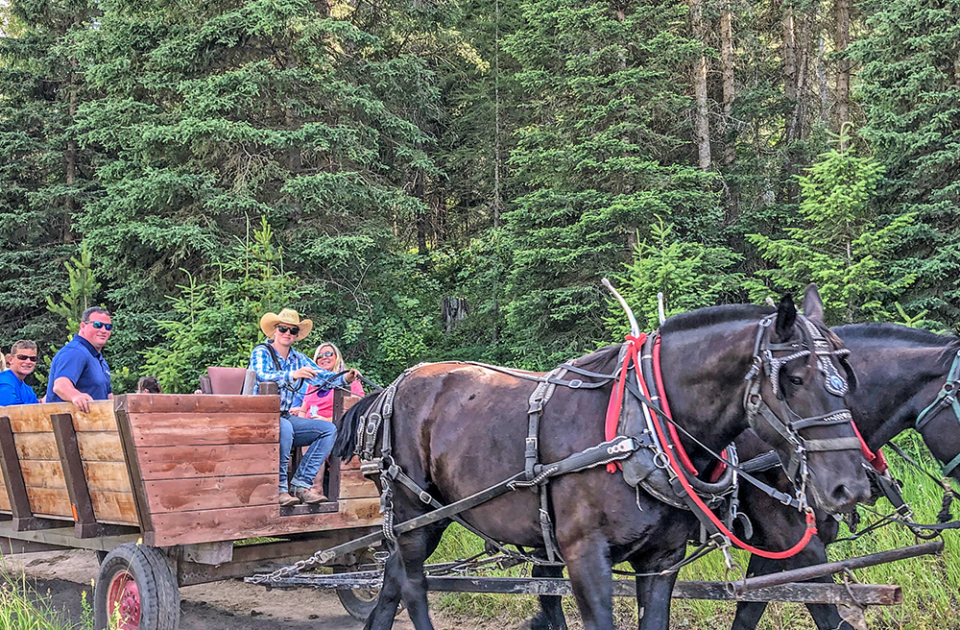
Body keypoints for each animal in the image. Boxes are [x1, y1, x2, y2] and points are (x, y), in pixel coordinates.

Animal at [336, 290, 872, 630]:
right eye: (795, 379)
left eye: (847, 375)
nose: (850, 486)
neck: (640, 425)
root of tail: (393, 387)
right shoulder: (584, 556)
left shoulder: (661, 561)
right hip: (415, 511)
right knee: (413, 584)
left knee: (392, 577)